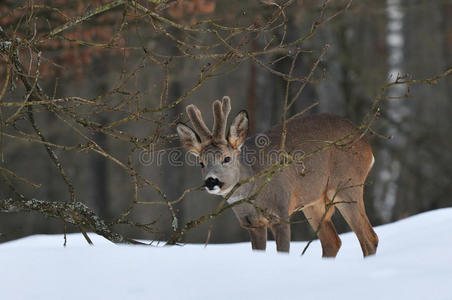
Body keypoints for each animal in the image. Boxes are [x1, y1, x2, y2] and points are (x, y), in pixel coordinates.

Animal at [177, 97, 378, 256]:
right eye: (201, 163)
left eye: (226, 158)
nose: (212, 181)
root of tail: (367, 145)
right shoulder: (252, 224)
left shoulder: (280, 212)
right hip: (314, 202)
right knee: (332, 242)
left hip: (347, 185)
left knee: (369, 238)